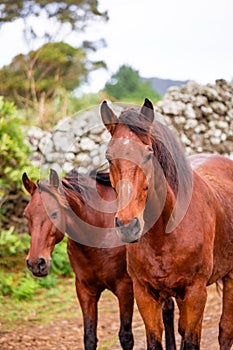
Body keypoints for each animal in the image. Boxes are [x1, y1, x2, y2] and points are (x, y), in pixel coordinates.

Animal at [22, 168, 176, 348]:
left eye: (54, 213)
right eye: (27, 215)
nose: (36, 263)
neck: (98, 235)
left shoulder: (125, 288)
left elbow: (126, 336)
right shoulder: (85, 290)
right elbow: (89, 337)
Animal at [101, 98, 233, 350]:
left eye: (148, 154)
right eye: (109, 157)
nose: (128, 225)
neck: (165, 234)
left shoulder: (195, 293)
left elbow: (192, 341)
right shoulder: (145, 294)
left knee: (225, 332)